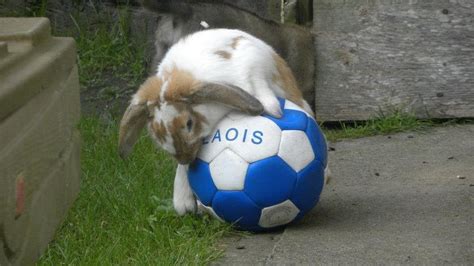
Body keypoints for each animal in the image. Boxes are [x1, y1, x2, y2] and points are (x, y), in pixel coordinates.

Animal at [118, 28, 314, 216]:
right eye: (156, 131)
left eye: (189, 123)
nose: (185, 158)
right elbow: (184, 170)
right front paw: (183, 203)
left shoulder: (252, 62)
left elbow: (259, 83)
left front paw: (271, 108)